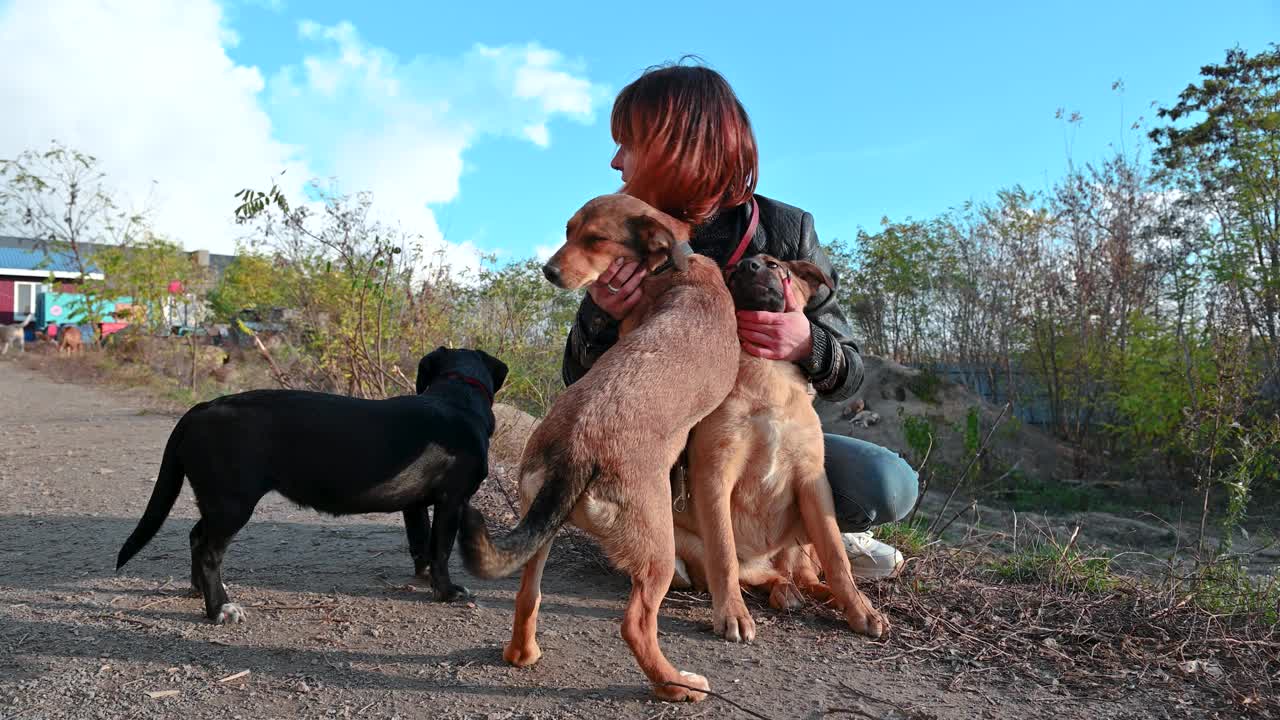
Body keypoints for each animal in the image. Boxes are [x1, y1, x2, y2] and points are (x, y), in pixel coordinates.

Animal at [113, 345, 504, 622]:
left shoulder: (415, 504)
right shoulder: (452, 500)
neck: (457, 397)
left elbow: (421, 544)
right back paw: (219, 608)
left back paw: (201, 591)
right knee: (209, 551)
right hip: (232, 504)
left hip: (217, 500)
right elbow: (441, 550)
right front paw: (447, 591)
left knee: (196, 537)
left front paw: (425, 579)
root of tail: (204, 406)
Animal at [460, 192, 742, 702]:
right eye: (570, 233)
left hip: (541, 528)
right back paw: (675, 685)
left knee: (527, 594)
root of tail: (577, 448)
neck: (671, 267)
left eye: (592, 238)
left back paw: (522, 654)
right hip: (658, 553)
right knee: (635, 625)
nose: (549, 271)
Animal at [670, 251, 890, 638]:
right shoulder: (715, 473)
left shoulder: (813, 482)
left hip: (801, 535)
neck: (766, 371)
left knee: (803, 575)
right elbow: (724, 557)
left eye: (772, 264)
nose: (746, 267)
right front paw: (732, 614)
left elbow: (837, 556)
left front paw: (860, 608)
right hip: (691, 542)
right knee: (760, 575)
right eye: (731, 272)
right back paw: (782, 593)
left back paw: (828, 596)